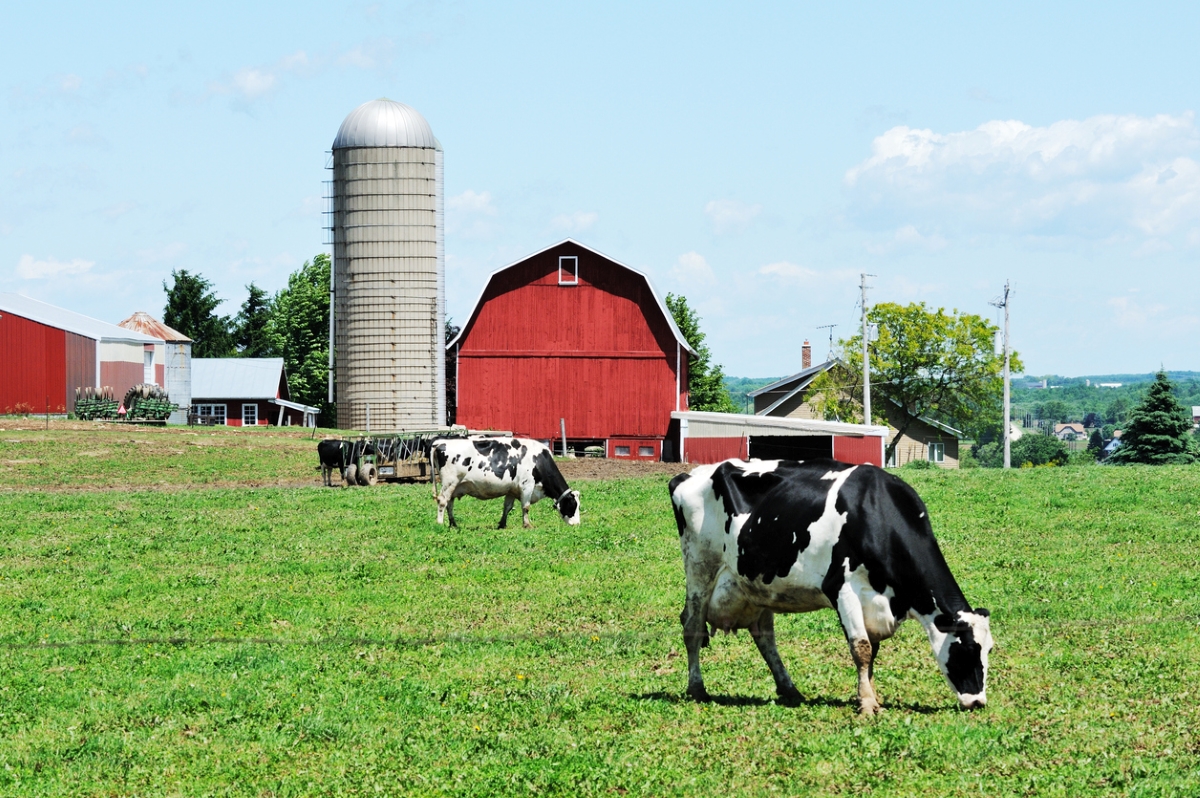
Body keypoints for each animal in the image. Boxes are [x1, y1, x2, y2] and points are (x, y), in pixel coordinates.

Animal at [432, 436, 580, 528]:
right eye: (572, 505)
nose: (577, 524)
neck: (539, 461)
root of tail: (440, 442)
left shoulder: (512, 489)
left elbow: (507, 507)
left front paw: (502, 524)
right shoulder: (527, 486)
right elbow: (526, 507)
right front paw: (527, 525)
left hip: (455, 486)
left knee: (450, 504)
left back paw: (453, 524)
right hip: (449, 482)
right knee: (443, 501)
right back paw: (440, 523)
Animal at [667, 458, 993, 710]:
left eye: (988, 649)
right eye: (966, 648)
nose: (978, 701)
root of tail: (689, 474)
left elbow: (872, 652)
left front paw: (869, 696)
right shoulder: (842, 588)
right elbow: (861, 648)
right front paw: (867, 704)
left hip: (757, 584)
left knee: (765, 636)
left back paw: (789, 689)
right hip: (700, 568)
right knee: (692, 627)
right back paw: (697, 689)